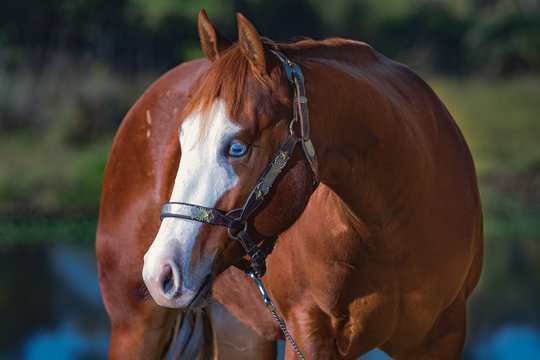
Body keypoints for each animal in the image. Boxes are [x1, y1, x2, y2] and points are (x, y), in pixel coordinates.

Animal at [96, 8, 480, 360]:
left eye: (237, 147)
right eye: (182, 137)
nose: (160, 271)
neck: (393, 229)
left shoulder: (444, 336)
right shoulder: (308, 333)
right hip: (135, 328)